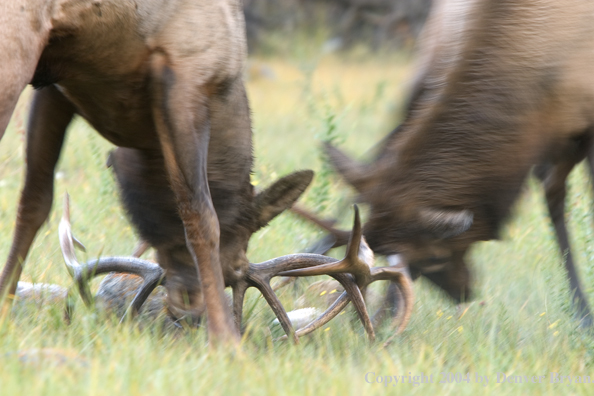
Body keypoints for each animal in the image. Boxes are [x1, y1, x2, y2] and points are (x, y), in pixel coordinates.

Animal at [0, 0, 412, 344]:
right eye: (234, 269)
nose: (188, 310)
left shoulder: (55, 83)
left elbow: (34, 202)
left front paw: (5, 308)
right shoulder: (187, 74)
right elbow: (201, 217)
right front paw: (226, 341)